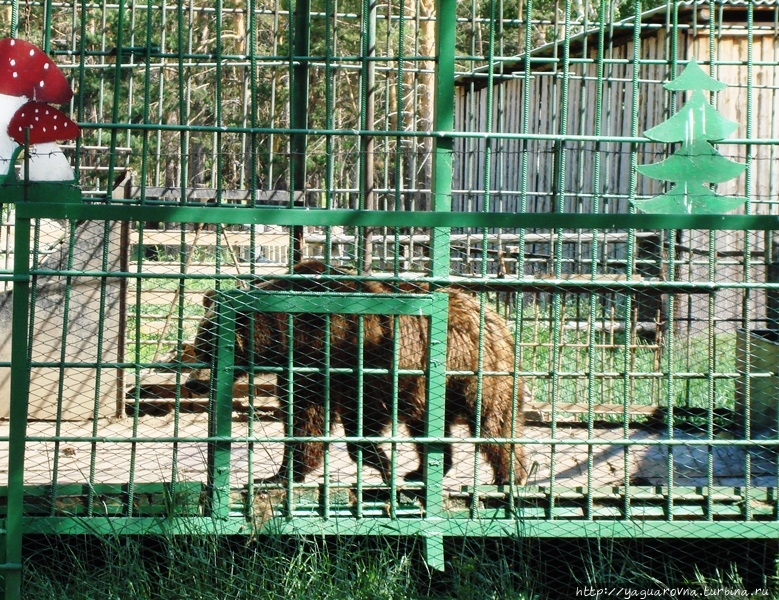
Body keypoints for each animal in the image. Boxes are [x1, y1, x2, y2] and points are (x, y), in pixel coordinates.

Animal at [185, 260, 528, 486]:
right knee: (426, 428)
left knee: (492, 423)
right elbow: (305, 418)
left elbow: (356, 413)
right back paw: (422, 471)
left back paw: (511, 477)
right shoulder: (307, 368)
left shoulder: (355, 350)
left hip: (475, 371)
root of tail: (496, 318)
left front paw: (380, 460)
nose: (193, 383)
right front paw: (278, 474)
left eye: (206, 348)